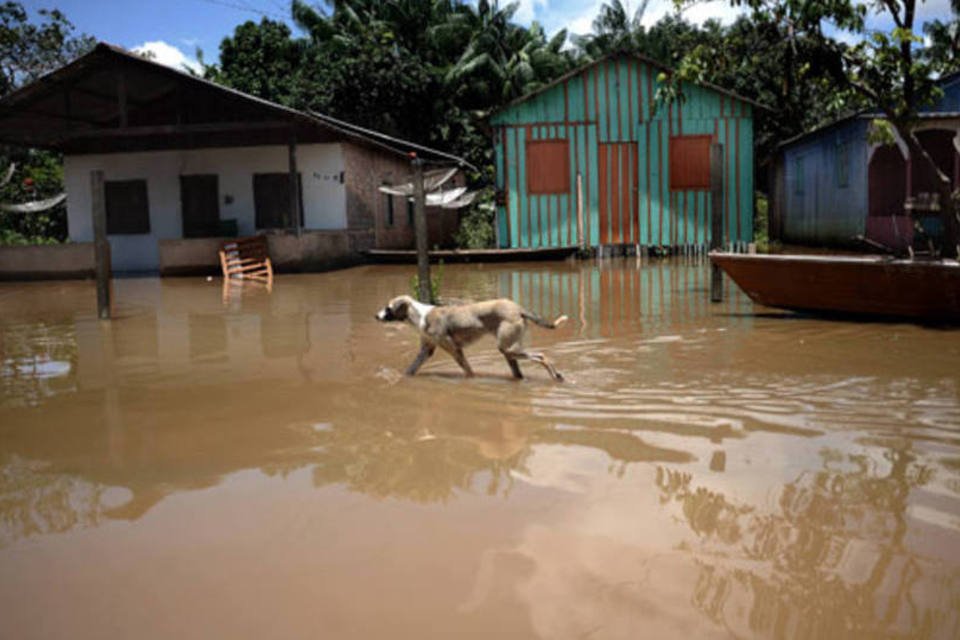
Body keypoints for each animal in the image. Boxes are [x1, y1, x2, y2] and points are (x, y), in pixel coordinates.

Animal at [376, 294, 568, 380]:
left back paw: (555, 373)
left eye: (388, 308)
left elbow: (469, 371)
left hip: (507, 348)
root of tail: (519, 308)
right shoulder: (426, 350)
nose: (375, 316)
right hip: (509, 351)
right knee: (520, 372)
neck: (420, 315)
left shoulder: (455, 350)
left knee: (542, 356)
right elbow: (411, 369)